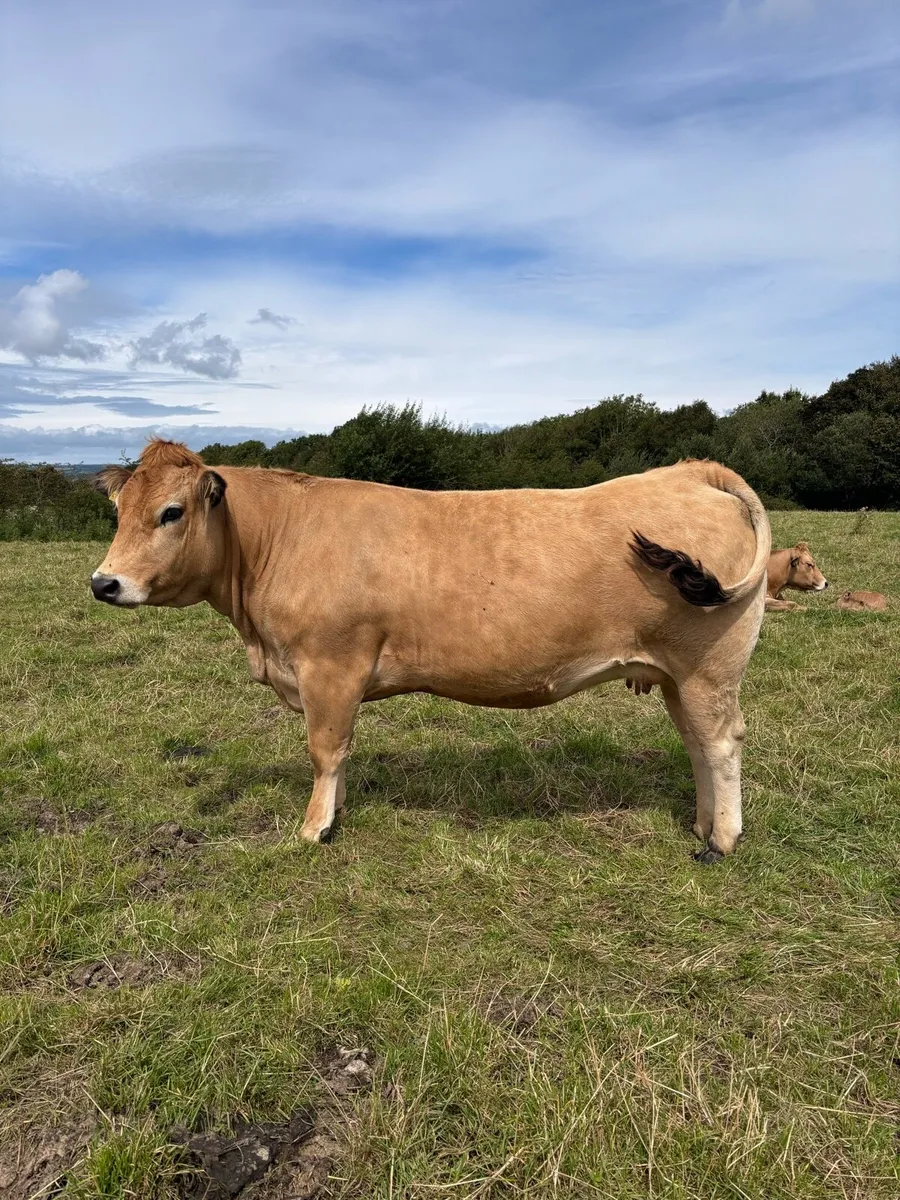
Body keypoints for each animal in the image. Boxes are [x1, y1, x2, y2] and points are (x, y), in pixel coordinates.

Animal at [91, 441, 771, 863]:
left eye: (171, 512)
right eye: (118, 510)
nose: (104, 583)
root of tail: (687, 471)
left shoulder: (329, 666)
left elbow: (325, 749)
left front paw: (315, 828)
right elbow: (341, 750)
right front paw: (336, 812)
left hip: (708, 668)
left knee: (720, 743)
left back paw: (722, 841)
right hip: (678, 676)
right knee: (696, 743)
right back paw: (702, 824)